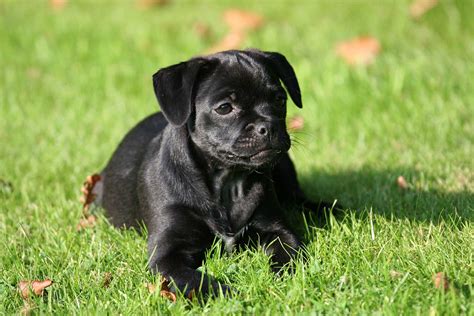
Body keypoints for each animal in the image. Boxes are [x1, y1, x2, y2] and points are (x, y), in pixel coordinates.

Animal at [98, 49, 324, 296]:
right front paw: (228, 295)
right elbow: (195, 280)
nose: (269, 126)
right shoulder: (167, 254)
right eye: (224, 108)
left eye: (280, 100)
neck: (228, 181)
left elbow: (289, 254)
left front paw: (286, 280)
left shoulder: (277, 230)